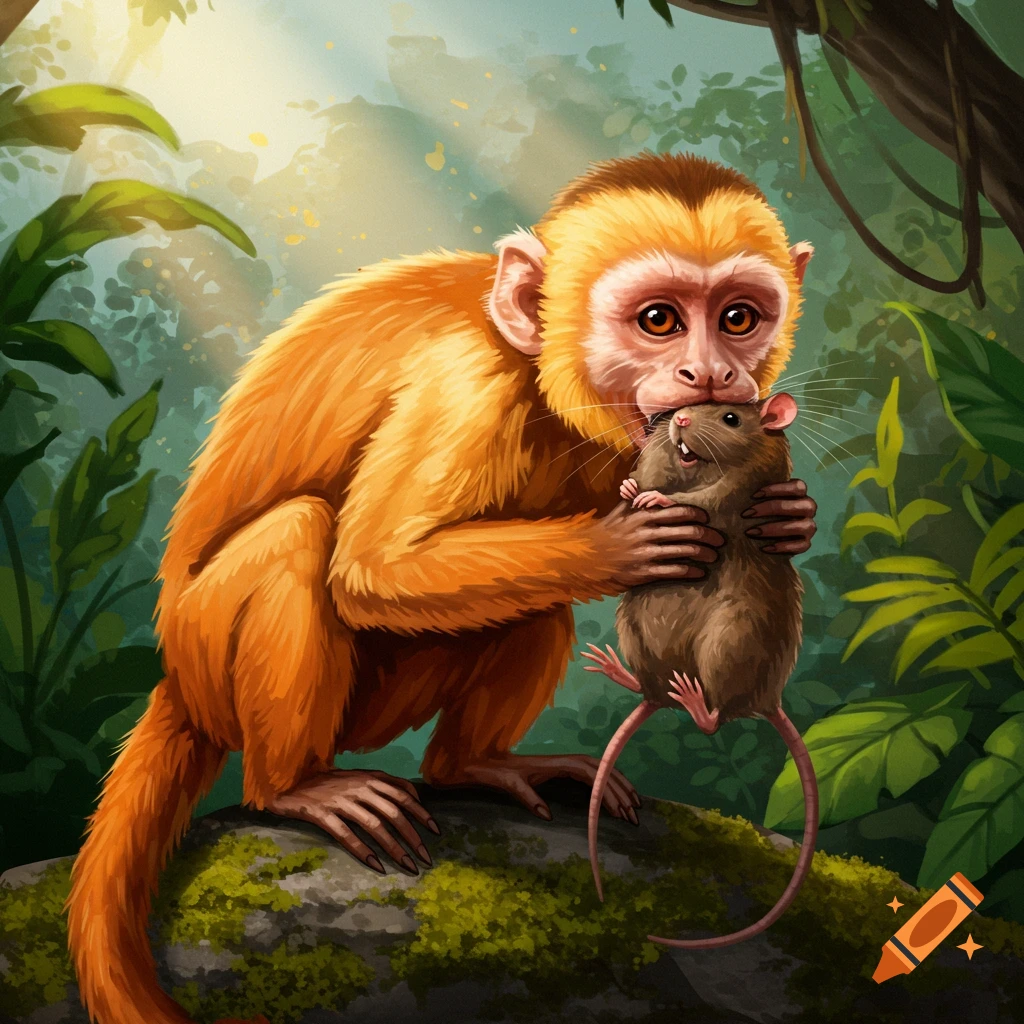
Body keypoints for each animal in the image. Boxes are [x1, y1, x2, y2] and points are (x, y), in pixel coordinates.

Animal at [65, 152, 818, 1024]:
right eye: (660, 321)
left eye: (738, 318)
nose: (715, 376)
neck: (536, 373)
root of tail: (178, 681)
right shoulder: (463, 383)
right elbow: (373, 569)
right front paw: (619, 544)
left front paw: (788, 517)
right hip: (217, 661)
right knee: (301, 533)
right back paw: (293, 788)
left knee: (527, 606)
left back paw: (472, 765)